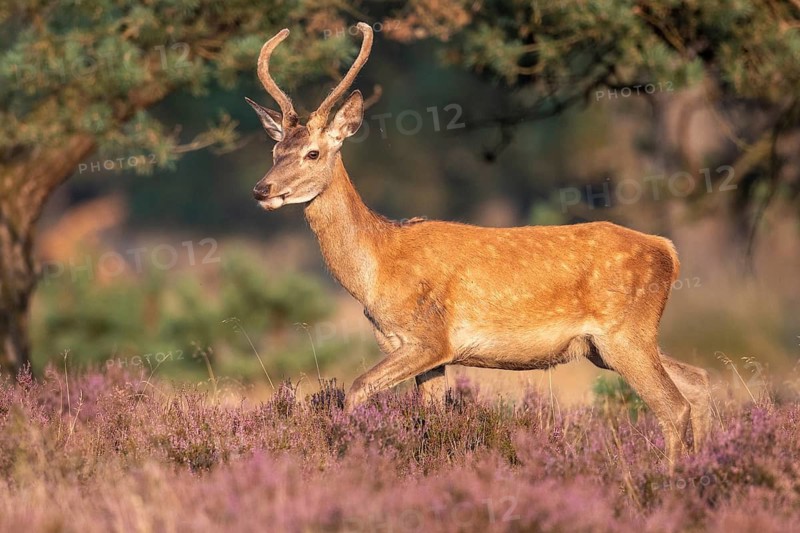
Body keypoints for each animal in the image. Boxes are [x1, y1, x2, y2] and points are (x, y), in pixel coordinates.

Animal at [245, 22, 712, 468]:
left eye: (312, 153)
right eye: (275, 149)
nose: (261, 189)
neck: (377, 267)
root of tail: (669, 251)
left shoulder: (431, 339)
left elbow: (355, 389)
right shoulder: (421, 351)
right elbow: (429, 420)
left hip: (624, 334)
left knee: (674, 407)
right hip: (612, 345)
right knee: (699, 382)